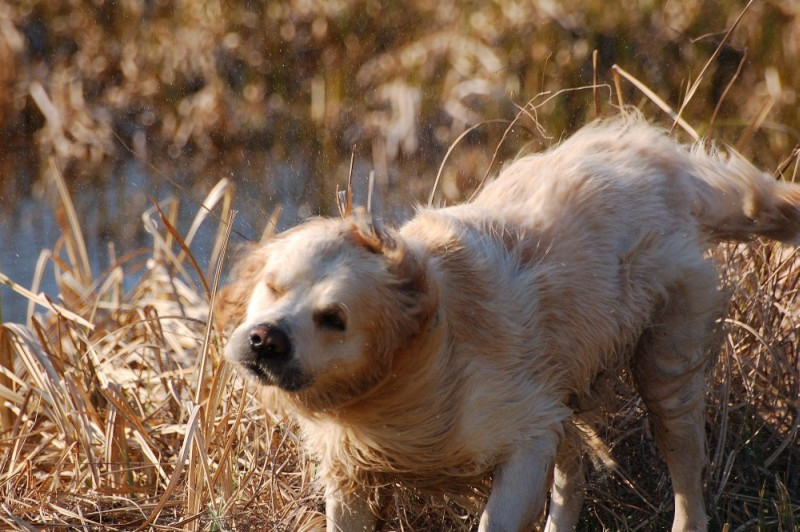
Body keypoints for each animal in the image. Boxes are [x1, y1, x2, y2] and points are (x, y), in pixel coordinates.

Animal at [219, 117, 800, 532]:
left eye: (333, 318)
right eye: (273, 287)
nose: (264, 340)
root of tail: (666, 164)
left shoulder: (524, 436)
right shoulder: (351, 476)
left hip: (666, 361)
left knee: (684, 468)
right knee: (576, 471)